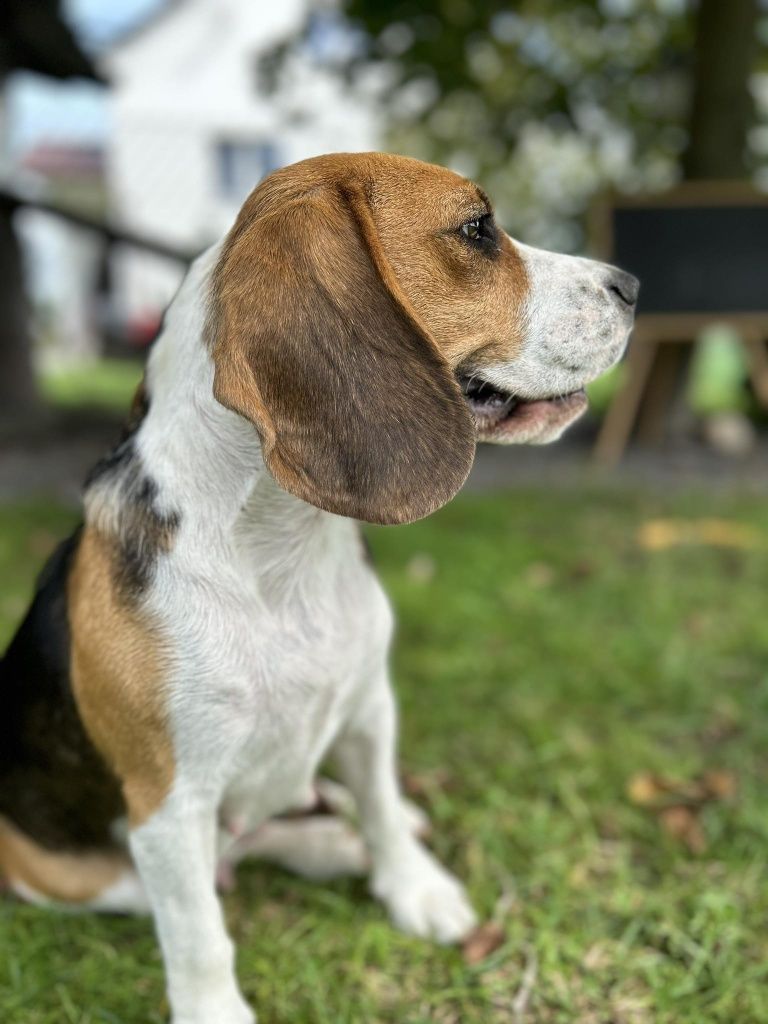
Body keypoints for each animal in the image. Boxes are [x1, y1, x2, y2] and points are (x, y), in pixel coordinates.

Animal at [0, 151, 638, 1024]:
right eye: (477, 228)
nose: (632, 284)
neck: (281, 546)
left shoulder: (369, 705)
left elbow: (379, 801)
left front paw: (414, 887)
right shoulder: (168, 803)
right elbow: (199, 931)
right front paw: (215, 1011)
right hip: (72, 868)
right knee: (215, 870)